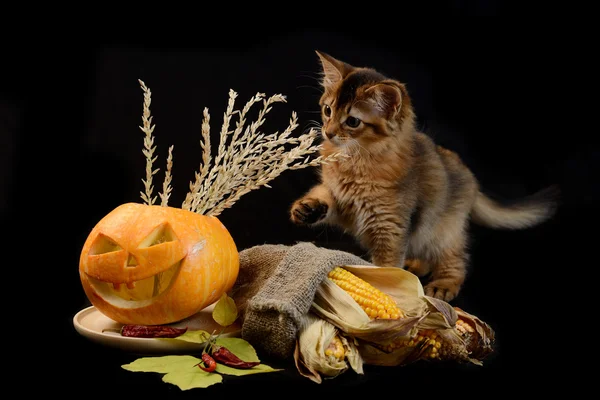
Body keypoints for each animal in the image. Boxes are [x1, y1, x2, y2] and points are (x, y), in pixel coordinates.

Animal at [288, 50, 560, 302]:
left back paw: (443, 285)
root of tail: (470, 176)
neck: (355, 161)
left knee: (456, 259)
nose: (328, 132)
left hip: (443, 230)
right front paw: (306, 208)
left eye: (353, 121)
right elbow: (323, 194)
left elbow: (386, 266)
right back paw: (414, 265)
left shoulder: (390, 226)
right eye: (328, 110)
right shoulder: (339, 197)